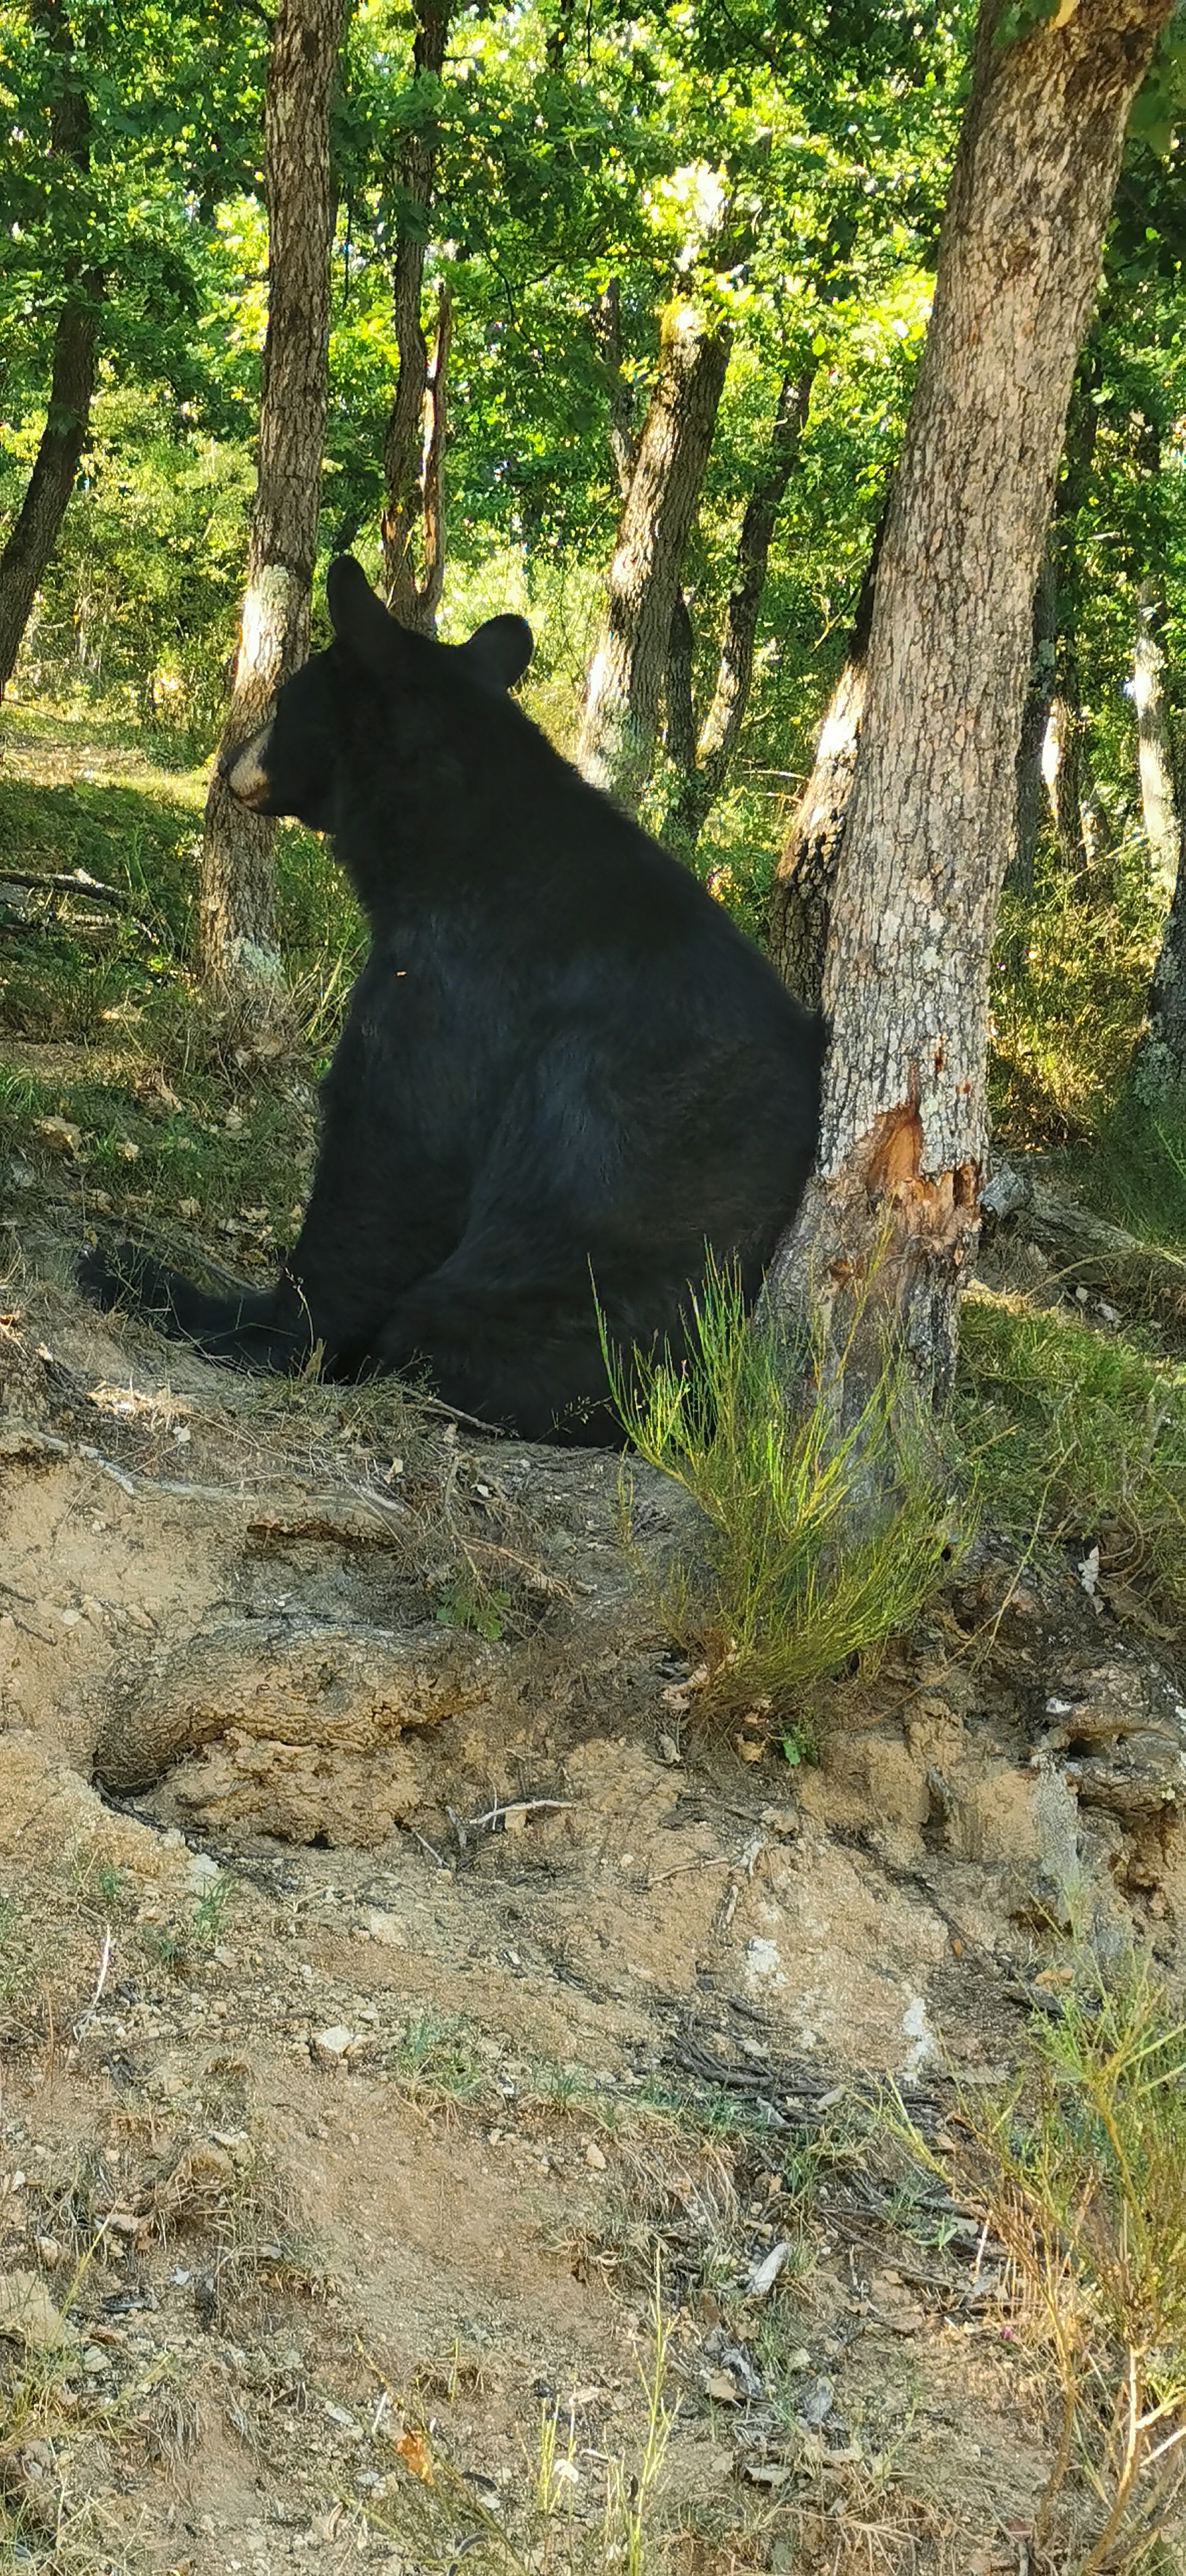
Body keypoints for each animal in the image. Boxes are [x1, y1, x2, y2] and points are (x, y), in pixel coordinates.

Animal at [80, 557, 822, 1444]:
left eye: (286, 700)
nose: (229, 766)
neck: (445, 843)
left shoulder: (454, 993)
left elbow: (392, 1155)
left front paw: (194, 1301)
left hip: (555, 1297)